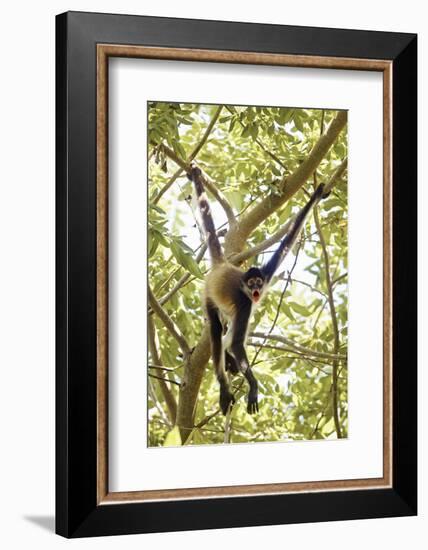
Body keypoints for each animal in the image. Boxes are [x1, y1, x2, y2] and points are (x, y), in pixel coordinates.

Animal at [187, 166, 324, 416]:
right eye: (251, 284)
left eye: (259, 282)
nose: (257, 288)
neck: (245, 288)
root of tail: (222, 266)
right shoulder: (245, 303)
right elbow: (236, 343)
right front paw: (253, 386)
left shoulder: (267, 273)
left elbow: (287, 242)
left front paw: (317, 194)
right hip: (209, 295)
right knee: (216, 330)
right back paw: (223, 384)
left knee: (225, 330)